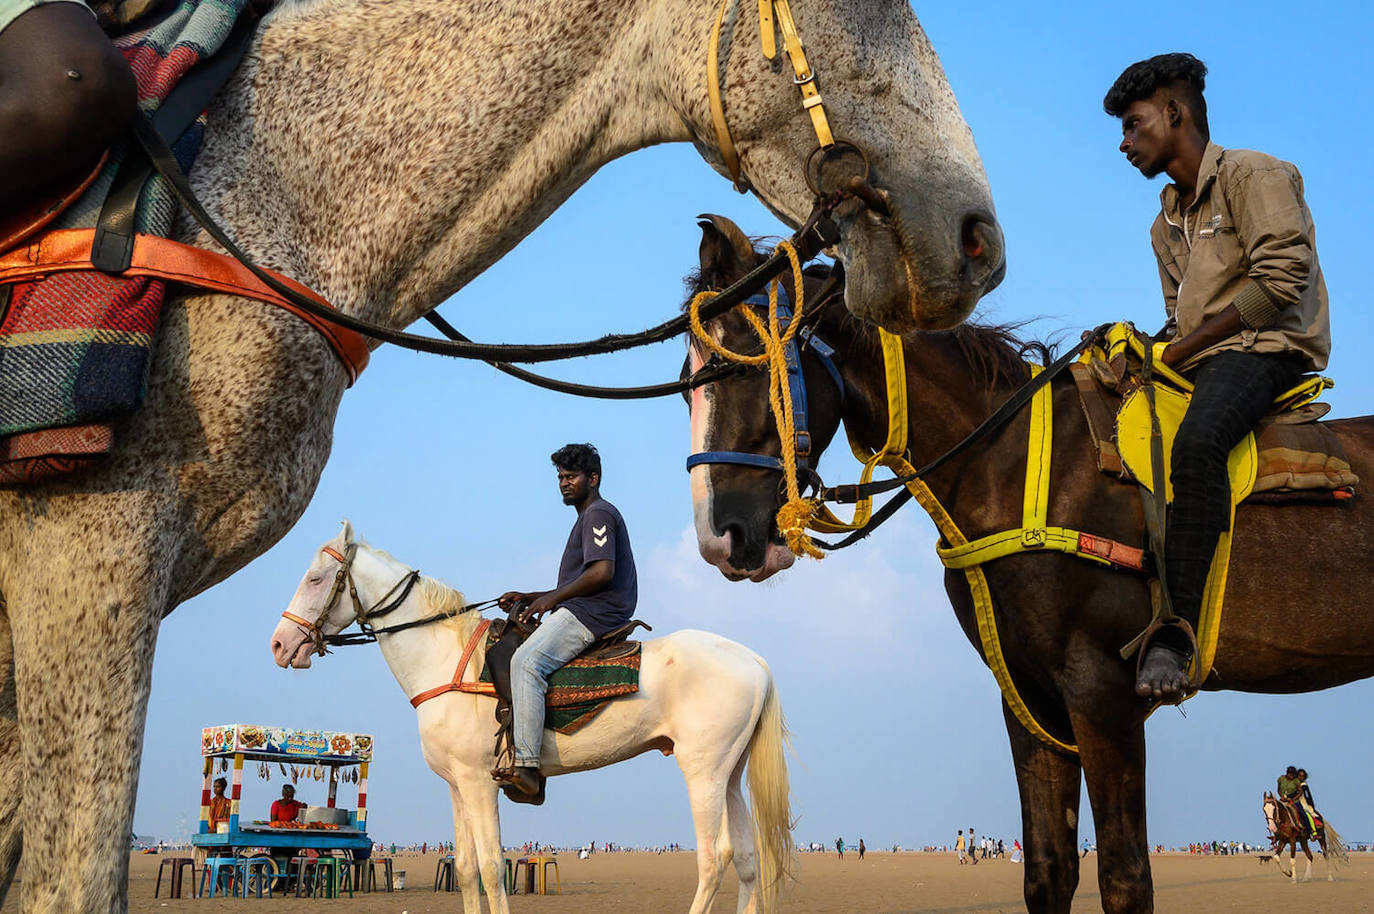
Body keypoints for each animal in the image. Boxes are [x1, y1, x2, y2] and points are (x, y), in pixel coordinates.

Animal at [267, 519, 796, 912]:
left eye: (315, 579)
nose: (279, 644)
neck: (445, 662)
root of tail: (754, 661)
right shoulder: (457, 785)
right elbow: (465, 871)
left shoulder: (480, 782)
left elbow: (489, 870)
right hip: (729, 773)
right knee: (746, 859)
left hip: (702, 770)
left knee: (714, 859)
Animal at [684, 215, 1374, 912]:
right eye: (688, 382)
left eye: (742, 368)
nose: (722, 538)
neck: (1011, 464)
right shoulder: (1029, 695)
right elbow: (1048, 870)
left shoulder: (1103, 691)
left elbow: (1125, 876)